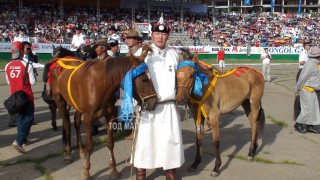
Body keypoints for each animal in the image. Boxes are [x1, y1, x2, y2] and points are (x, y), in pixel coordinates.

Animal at [49, 45, 158, 179]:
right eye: (144, 79)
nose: (154, 102)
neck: (99, 85)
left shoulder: (110, 116)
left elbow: (110, 142)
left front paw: (114, 169)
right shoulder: (88, 117)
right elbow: (90, 145)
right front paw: (86, 171)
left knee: (76, 123)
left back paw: (80, 151)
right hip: (60, 101)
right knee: (66, 124)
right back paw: (68, 154)